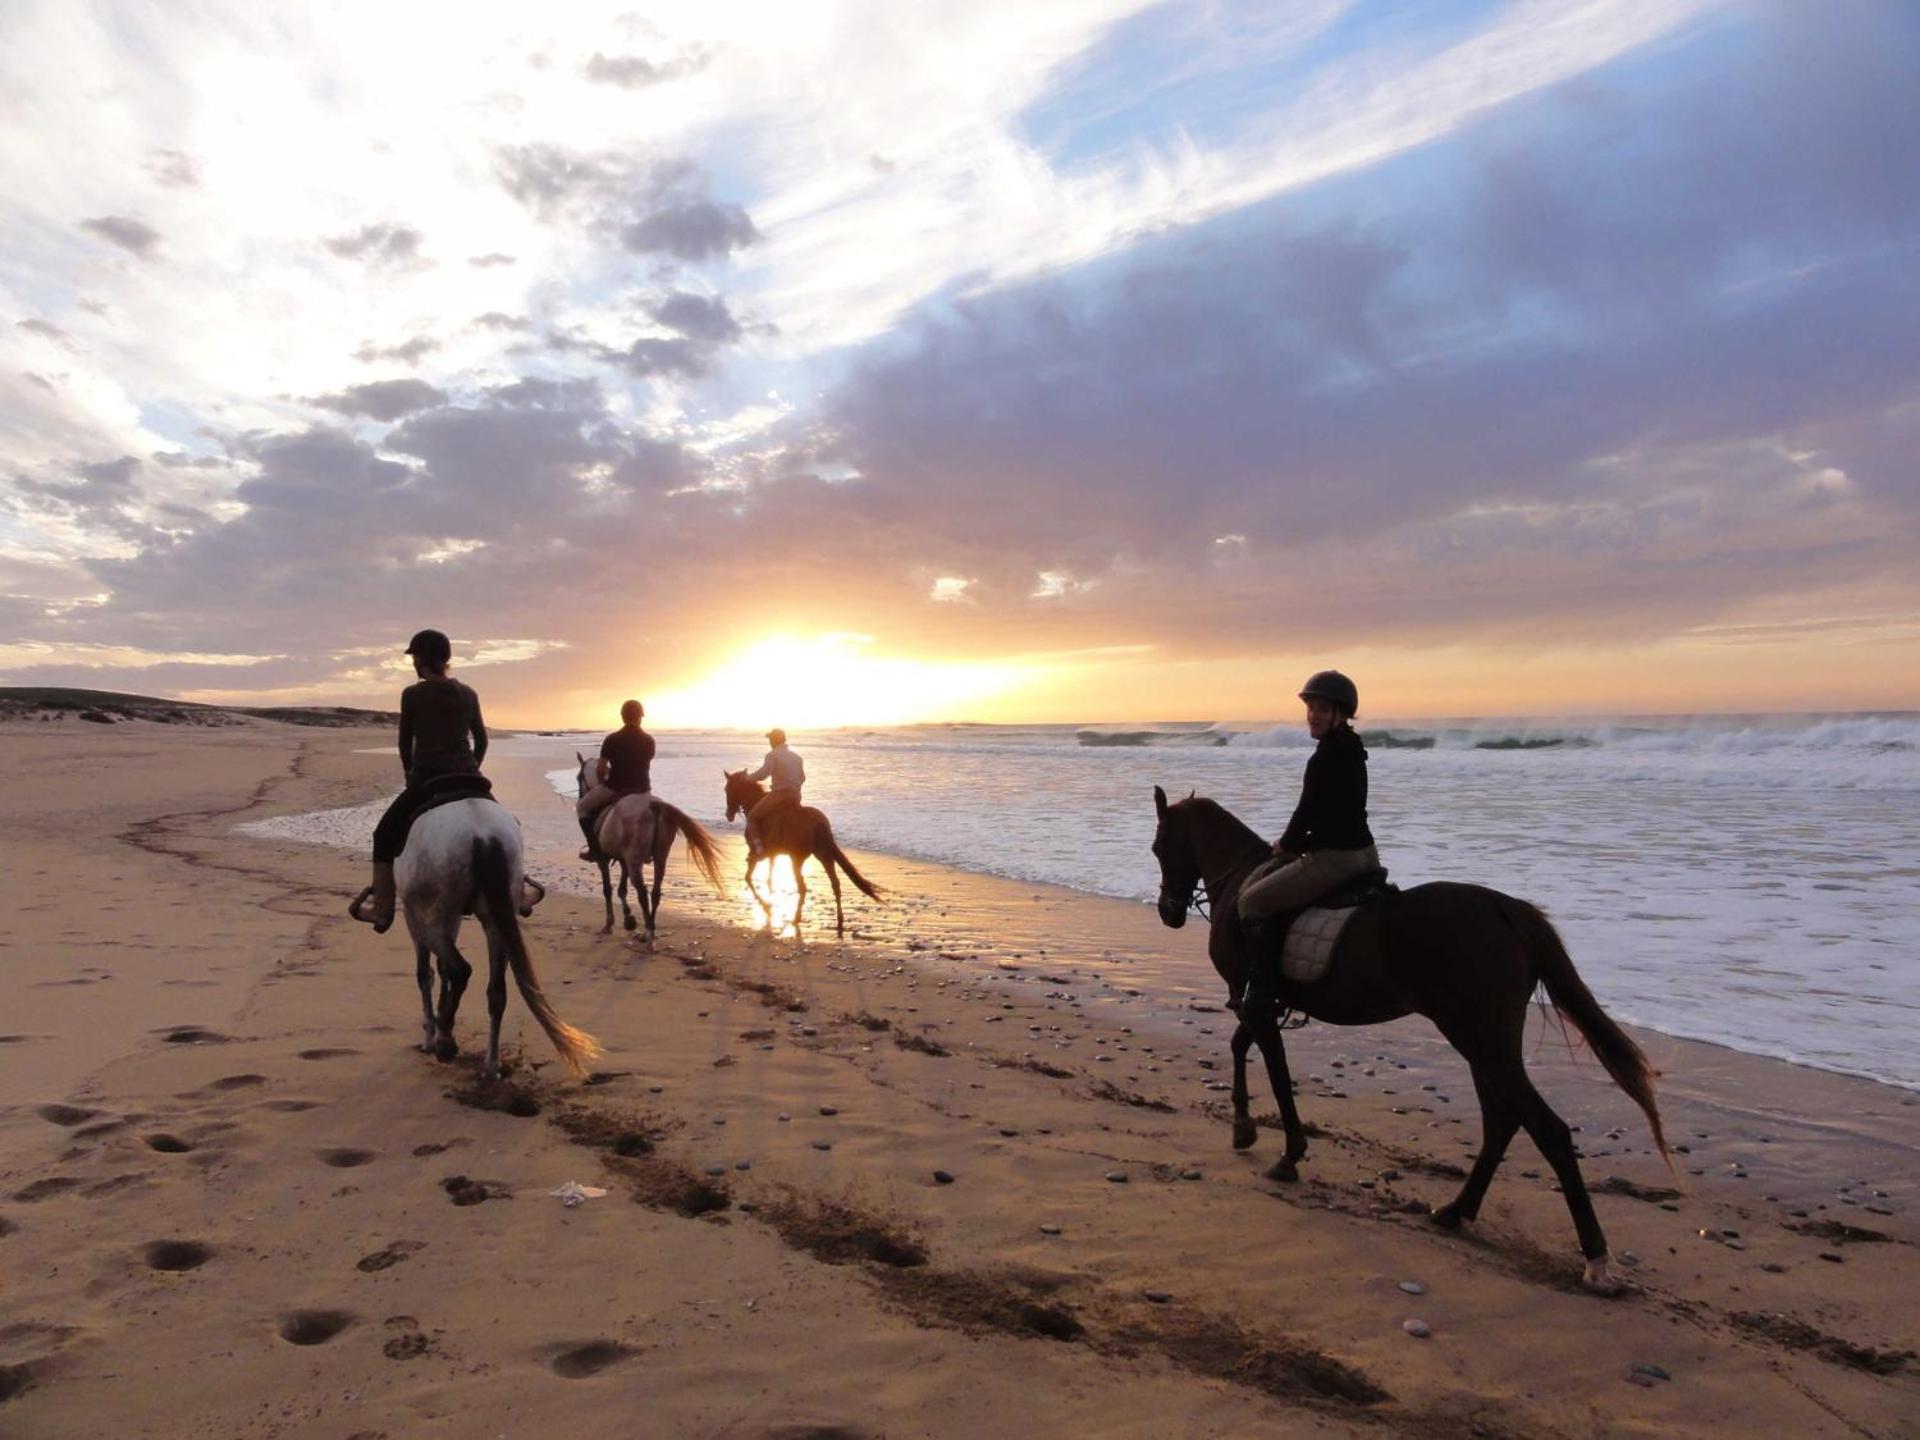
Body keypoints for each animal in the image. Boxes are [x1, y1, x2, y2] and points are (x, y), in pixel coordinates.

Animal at [357, 802, 595, 1082]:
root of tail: (483, 836)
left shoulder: (414, 918)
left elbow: (425, 973)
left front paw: (430, 1034)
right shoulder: (453, 919)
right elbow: (441, 969)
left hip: (432, 916)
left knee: (460, 969)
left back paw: (445, 1041)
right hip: (494, 919)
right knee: (496, 991)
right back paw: (490, 1065)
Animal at [572, 756, 729, 948]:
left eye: (579, 777)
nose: (580, 796)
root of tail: (653, 805)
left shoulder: (605, 860)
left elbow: (608, 889)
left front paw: (610, 924)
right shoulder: (623, 860)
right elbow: (622, 889)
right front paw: (628, 919)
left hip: (635, 861)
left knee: (642, 893)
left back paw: (648, 935)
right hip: (660, 857)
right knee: (655, 892)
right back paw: (651, 931)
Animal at [721, 771, 879, 940]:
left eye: (727, 789)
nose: (728, 815)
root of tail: (818, 823)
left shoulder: (754, 853)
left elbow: (748, 877)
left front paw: (765, 905)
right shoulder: (773, 855)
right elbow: (769, 878)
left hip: (796, 859)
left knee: (803, 887)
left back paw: (796, 918)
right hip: (824, 855)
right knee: (835, 884)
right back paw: (839, 920)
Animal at [1152, 791, 1666, 1297]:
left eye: (1159, 848)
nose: (1168, 913)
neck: (1239, 879)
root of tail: (1506, 910)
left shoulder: (1255, 1002)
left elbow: (1273, 1071)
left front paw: (1286, 1151)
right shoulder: (1261, 1004)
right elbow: (1242, 1048)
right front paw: (1245, 1129)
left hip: (1476, 1036)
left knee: (1546, 1129)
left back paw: (1595, 1261)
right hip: (1485, 1042)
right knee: (1503, 1120)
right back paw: (1457, 1211)